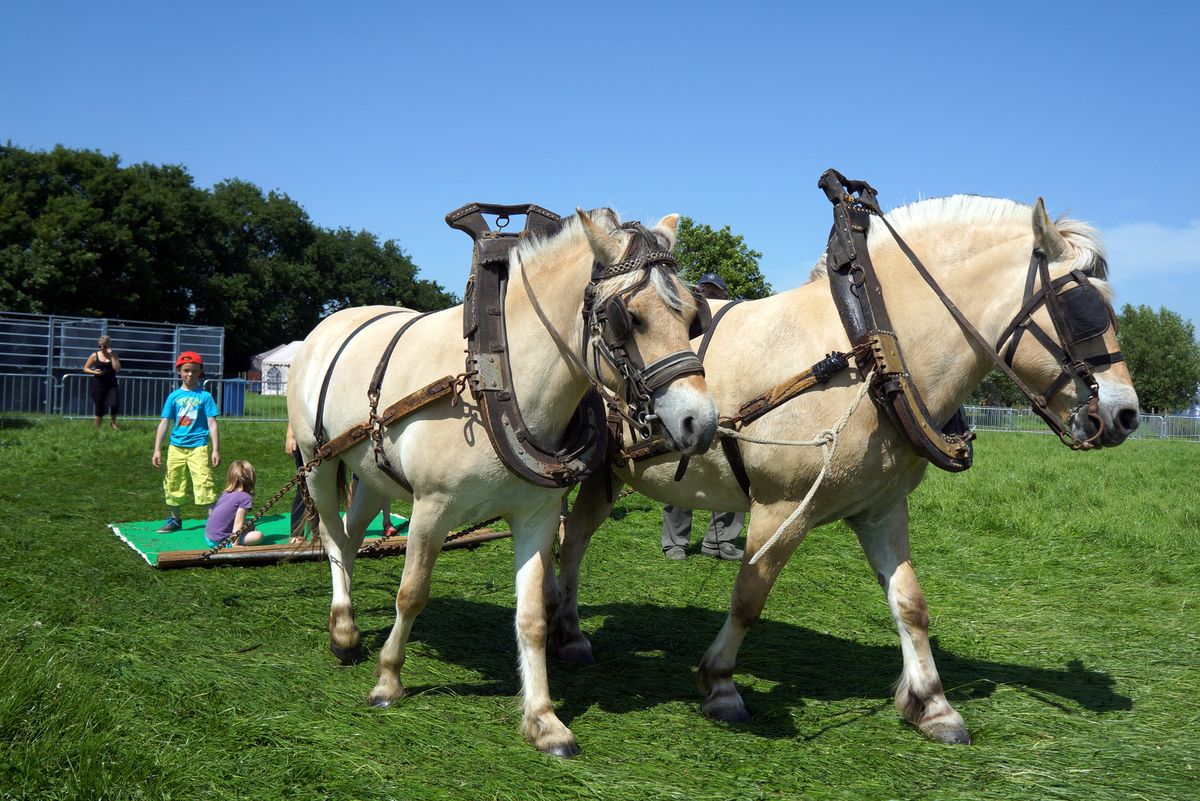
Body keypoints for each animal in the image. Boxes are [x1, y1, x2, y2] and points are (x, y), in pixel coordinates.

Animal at [285, 208, 715, 757]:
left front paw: (544, 718)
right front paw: (388, 680)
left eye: (692, 317)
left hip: (371, 471)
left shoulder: (536, 515)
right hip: (317, 460)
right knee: (333, 536)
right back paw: (342, 629)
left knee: (354, 533)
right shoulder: (431, 507)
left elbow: (532, 617)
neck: (494, 379)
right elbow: (411, 593)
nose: (700, 423)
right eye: (629, 318)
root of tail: (329, 324)